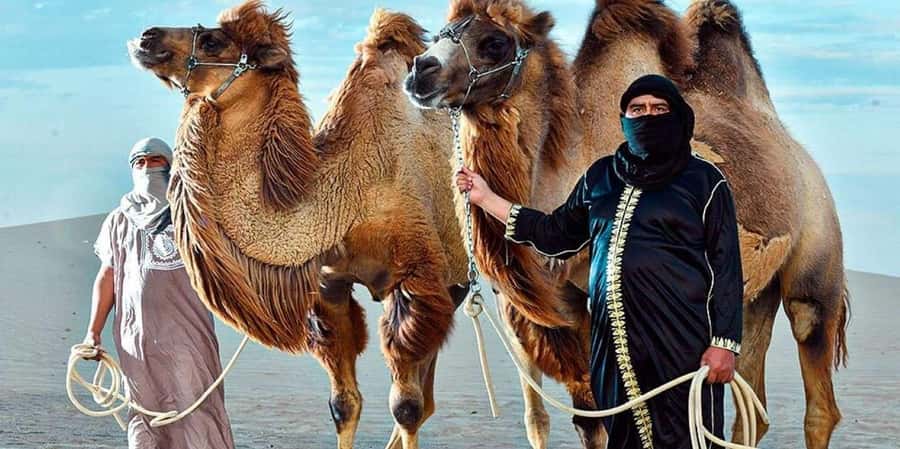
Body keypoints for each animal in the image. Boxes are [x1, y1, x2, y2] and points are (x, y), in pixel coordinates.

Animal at [128, 2, 469, 448]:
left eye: (215, 41)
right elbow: (345, 405)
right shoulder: (329, 286)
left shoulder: (417, 278)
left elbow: (406, 408)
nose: (146, 36)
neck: (347, 195)